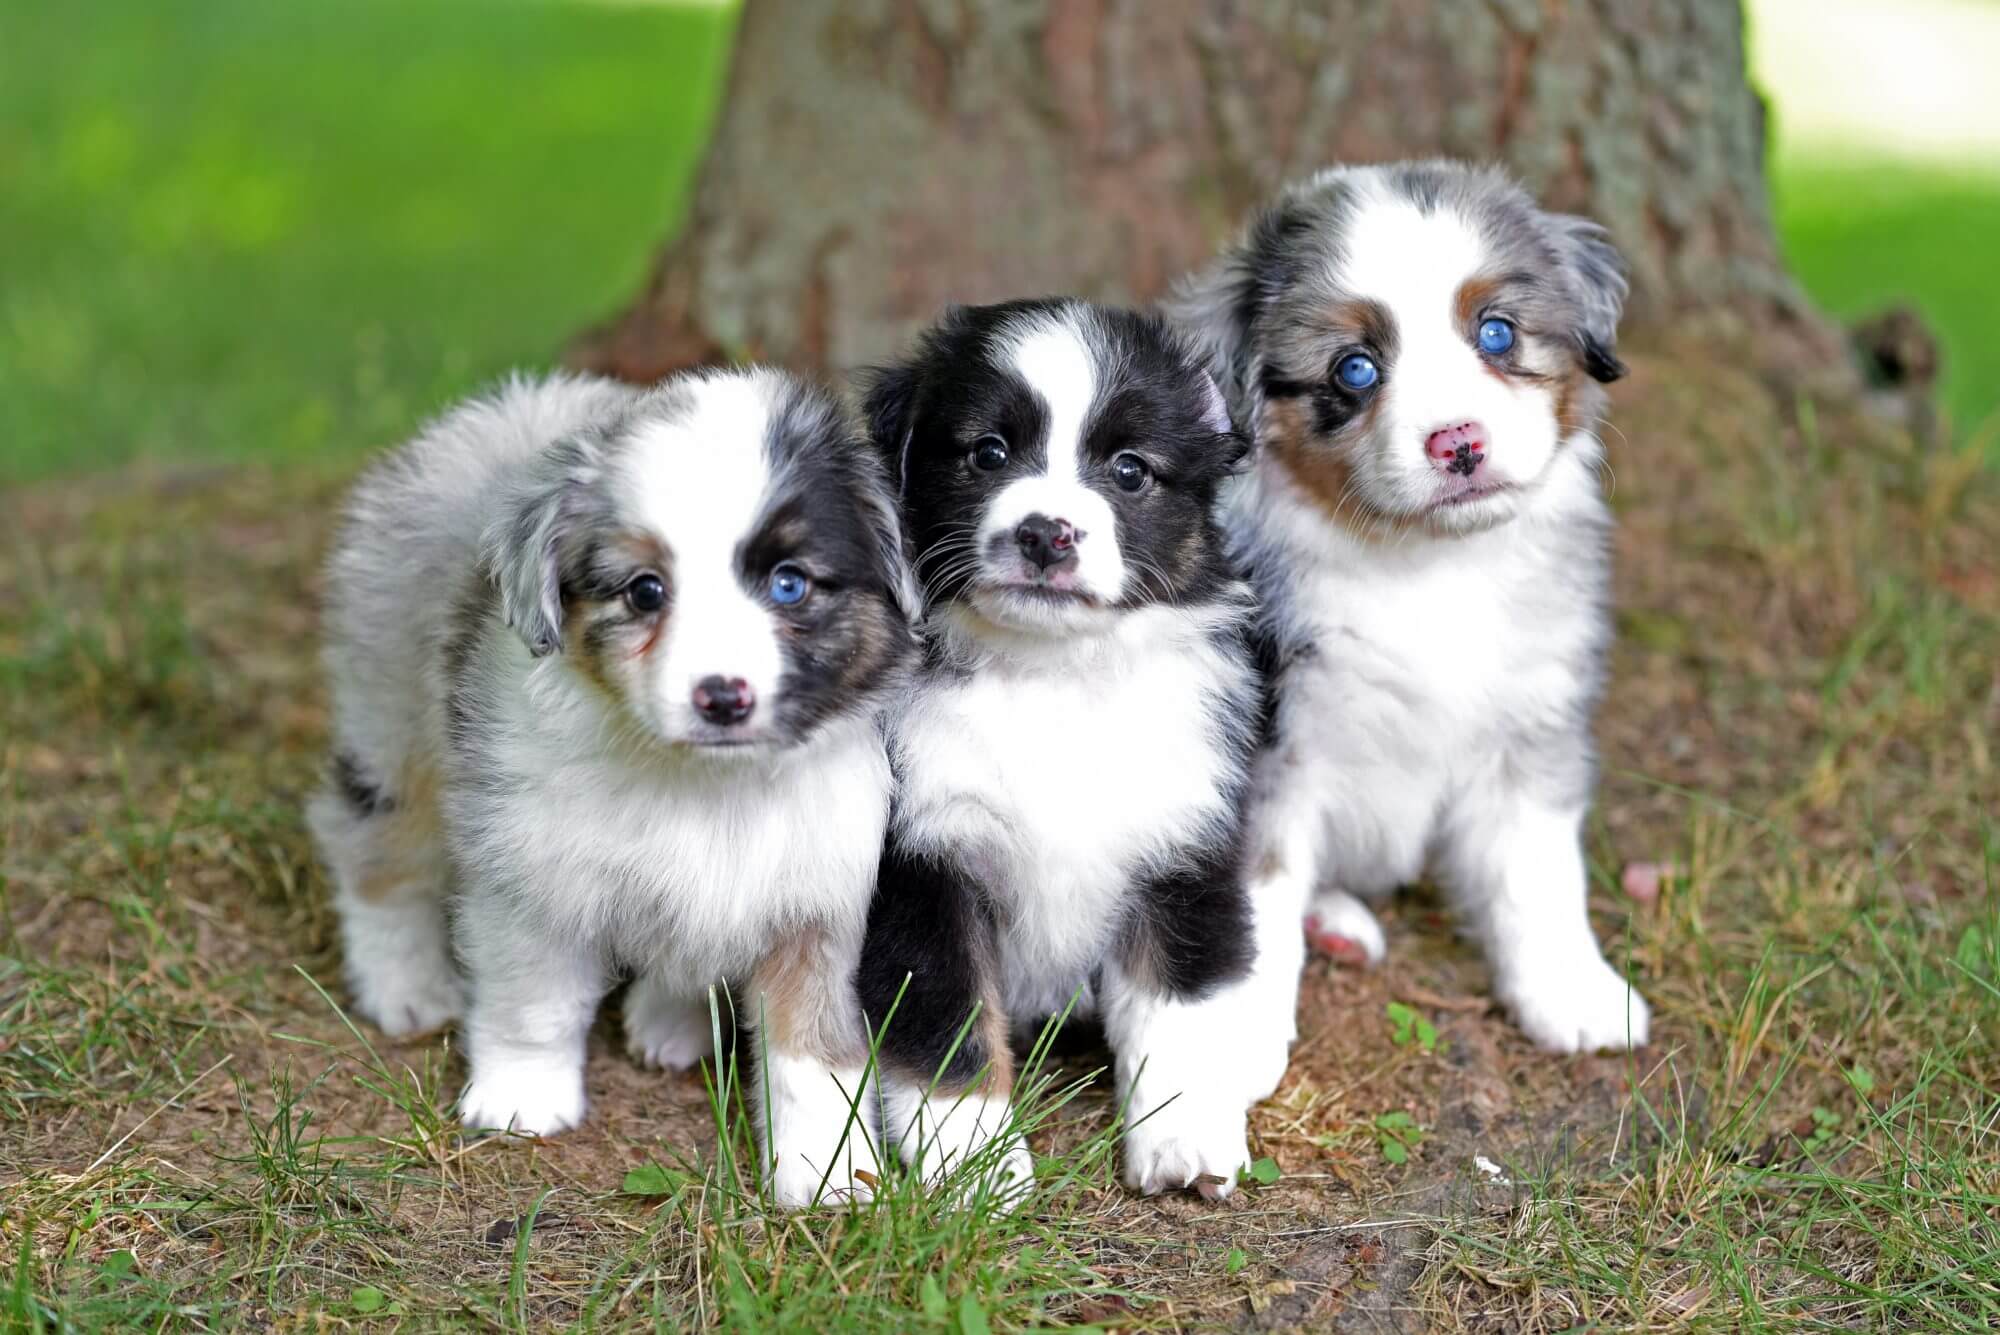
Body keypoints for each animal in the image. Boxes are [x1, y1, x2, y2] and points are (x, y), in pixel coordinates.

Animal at [310, 367, 916, 1207]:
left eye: (790, 584)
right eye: (644, 591)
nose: (722, 697)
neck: (705, 784)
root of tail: (519, 407)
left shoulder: (820, 899)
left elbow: (812, 1053)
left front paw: (827, 1170)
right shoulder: (530, 870)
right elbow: (535, 1000)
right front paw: (523, 1098)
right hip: (393, 719)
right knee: (373, 849)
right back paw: (404, 983)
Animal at [852, 299, 1288, 1199]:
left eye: (1129, 470)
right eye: (987, 452)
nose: (1046, 533)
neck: (1053, 675)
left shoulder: (1183, 843)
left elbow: (1180, 998)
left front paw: (1184, 1135)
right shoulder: (921, 862)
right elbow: (948, 1021)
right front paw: (972, 1162)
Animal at [1168, 156, 1648, 1055]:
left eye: (1496, 333)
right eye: (1354, 368)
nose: (1458, 444)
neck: (1429, 567)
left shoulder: (1533, 723)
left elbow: (1539, 872)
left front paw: (1573, 993)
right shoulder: (1269, 749)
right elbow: (1255, 889)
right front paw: (1229, 1042)